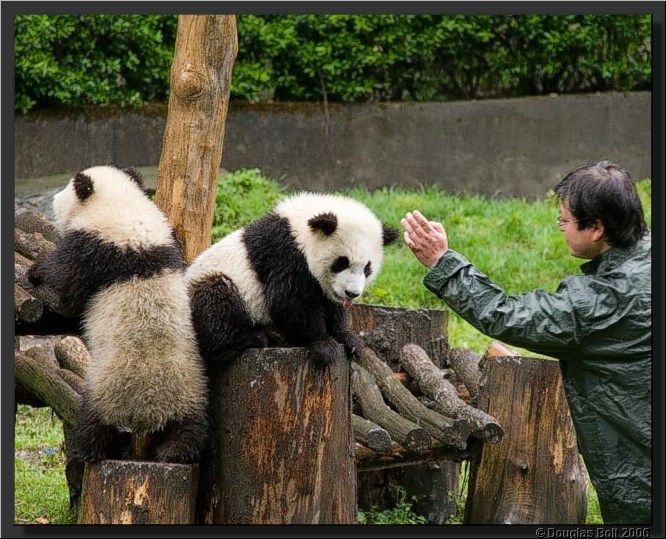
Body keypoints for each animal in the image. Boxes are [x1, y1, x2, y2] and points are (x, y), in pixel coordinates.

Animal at [27, 165, 208, 464]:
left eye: (65, 190)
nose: (52, 200)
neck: (124, 209)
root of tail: (149, 412)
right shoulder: (167, 241)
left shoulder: (94, 248)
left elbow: (67, 285)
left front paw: (37, 272)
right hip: (191, 388)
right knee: (191, 428)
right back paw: (175, 452)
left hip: (105, 388)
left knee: (93, 423)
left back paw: (90, 451)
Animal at [186, 191, 399, 367]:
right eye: (341, 262)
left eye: (367, 268)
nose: (351, 293)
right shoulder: (285, 255)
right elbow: (290, 301)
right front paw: (323, 344)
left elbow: (332, 306)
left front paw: (350, 340)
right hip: (212, 285)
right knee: (215, 304)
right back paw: (256, 338)